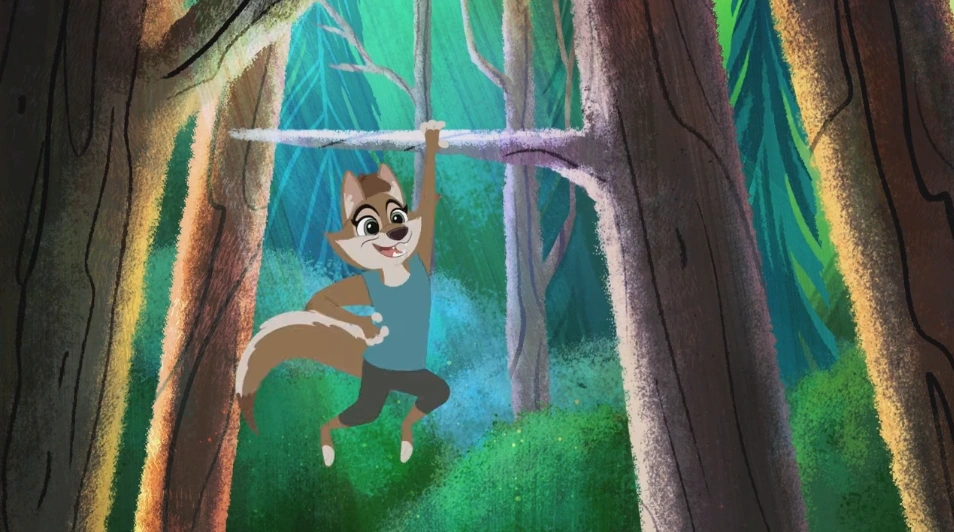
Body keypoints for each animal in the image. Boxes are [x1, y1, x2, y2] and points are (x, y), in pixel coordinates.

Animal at [235, 120, 450, 467]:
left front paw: (431, 141)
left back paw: (405, 438)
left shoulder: (418, 255)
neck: (395, 271)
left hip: (400, 380)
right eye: (370, 226)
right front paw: (368, 327)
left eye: (399, 216)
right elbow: (320, 299)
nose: (399, 233)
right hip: (375, 380)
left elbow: (428, 205)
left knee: (433, 393)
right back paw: (327, 440)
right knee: (365, 412)